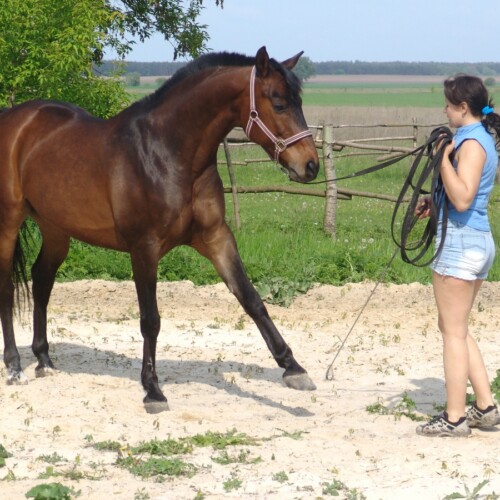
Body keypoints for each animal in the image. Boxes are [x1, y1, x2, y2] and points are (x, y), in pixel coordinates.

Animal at [0, 47, 318, 412]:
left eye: (299, 102)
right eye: (279, 103)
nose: (310, 165)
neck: (168, 153)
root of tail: (14, 120)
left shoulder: (217, 237)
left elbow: (251, 299)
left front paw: (294, 369)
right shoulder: (144, 248)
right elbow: (150, 320)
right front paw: (152, 389)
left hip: (55, 229)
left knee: (41, 280)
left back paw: (45, 360)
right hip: (9, 221)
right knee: (7, 287)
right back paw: (14, 366)